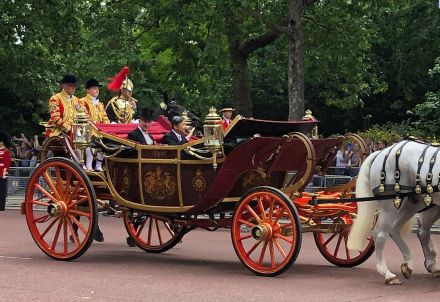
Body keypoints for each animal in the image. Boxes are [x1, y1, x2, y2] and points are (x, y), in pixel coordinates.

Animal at [348, 140, 440, 284]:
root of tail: (382, 152)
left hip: (412, 204)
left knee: (401, 229)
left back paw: (412, 264)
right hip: (391, 206)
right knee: (380, 234)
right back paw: (388, 274)